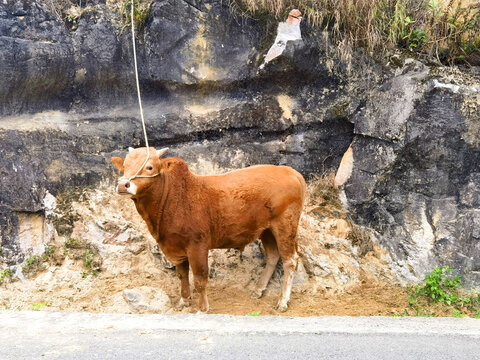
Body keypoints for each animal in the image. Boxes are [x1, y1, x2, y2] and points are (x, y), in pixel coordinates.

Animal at [111, 146, 306, 312]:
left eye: (149, 167)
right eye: (125, 167)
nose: (123, 185)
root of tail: (291, 172)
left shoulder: (197, 245)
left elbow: (200, 279)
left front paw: (203, 308)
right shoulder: (175, 247)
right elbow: (182, 275)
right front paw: (184, 300)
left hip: (285, 226)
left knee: (290, 261)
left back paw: (282, 301)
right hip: (267, 230)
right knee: (273, 256)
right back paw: (258, 290)